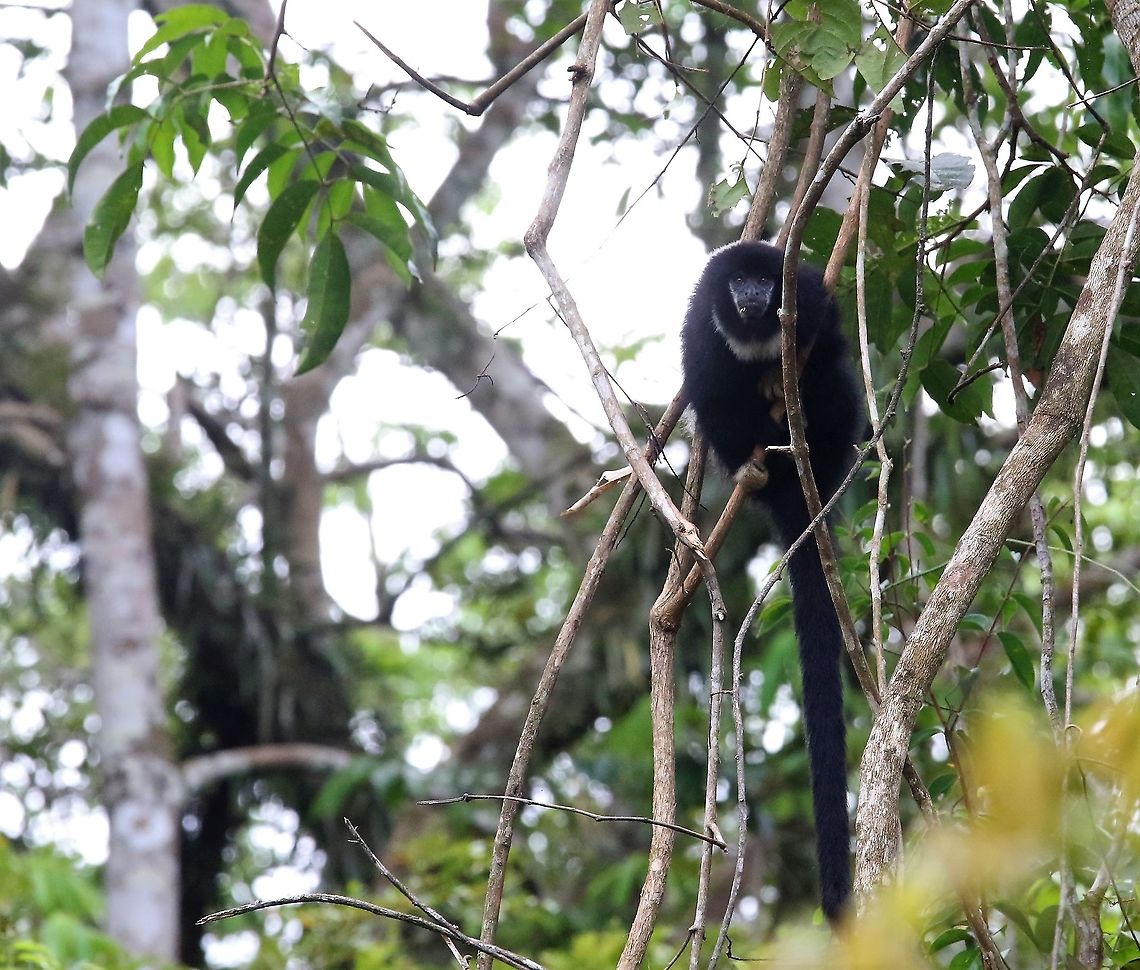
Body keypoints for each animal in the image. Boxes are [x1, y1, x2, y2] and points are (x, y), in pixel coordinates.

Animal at [680, 240, 863, 923]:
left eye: (765, 279)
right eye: (738, 284)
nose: (754, 295)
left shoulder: (804, 289)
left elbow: (830, 338)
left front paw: (800, 361)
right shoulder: (701, 324)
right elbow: (705, 384)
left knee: (836, 385)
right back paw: (757, 464)